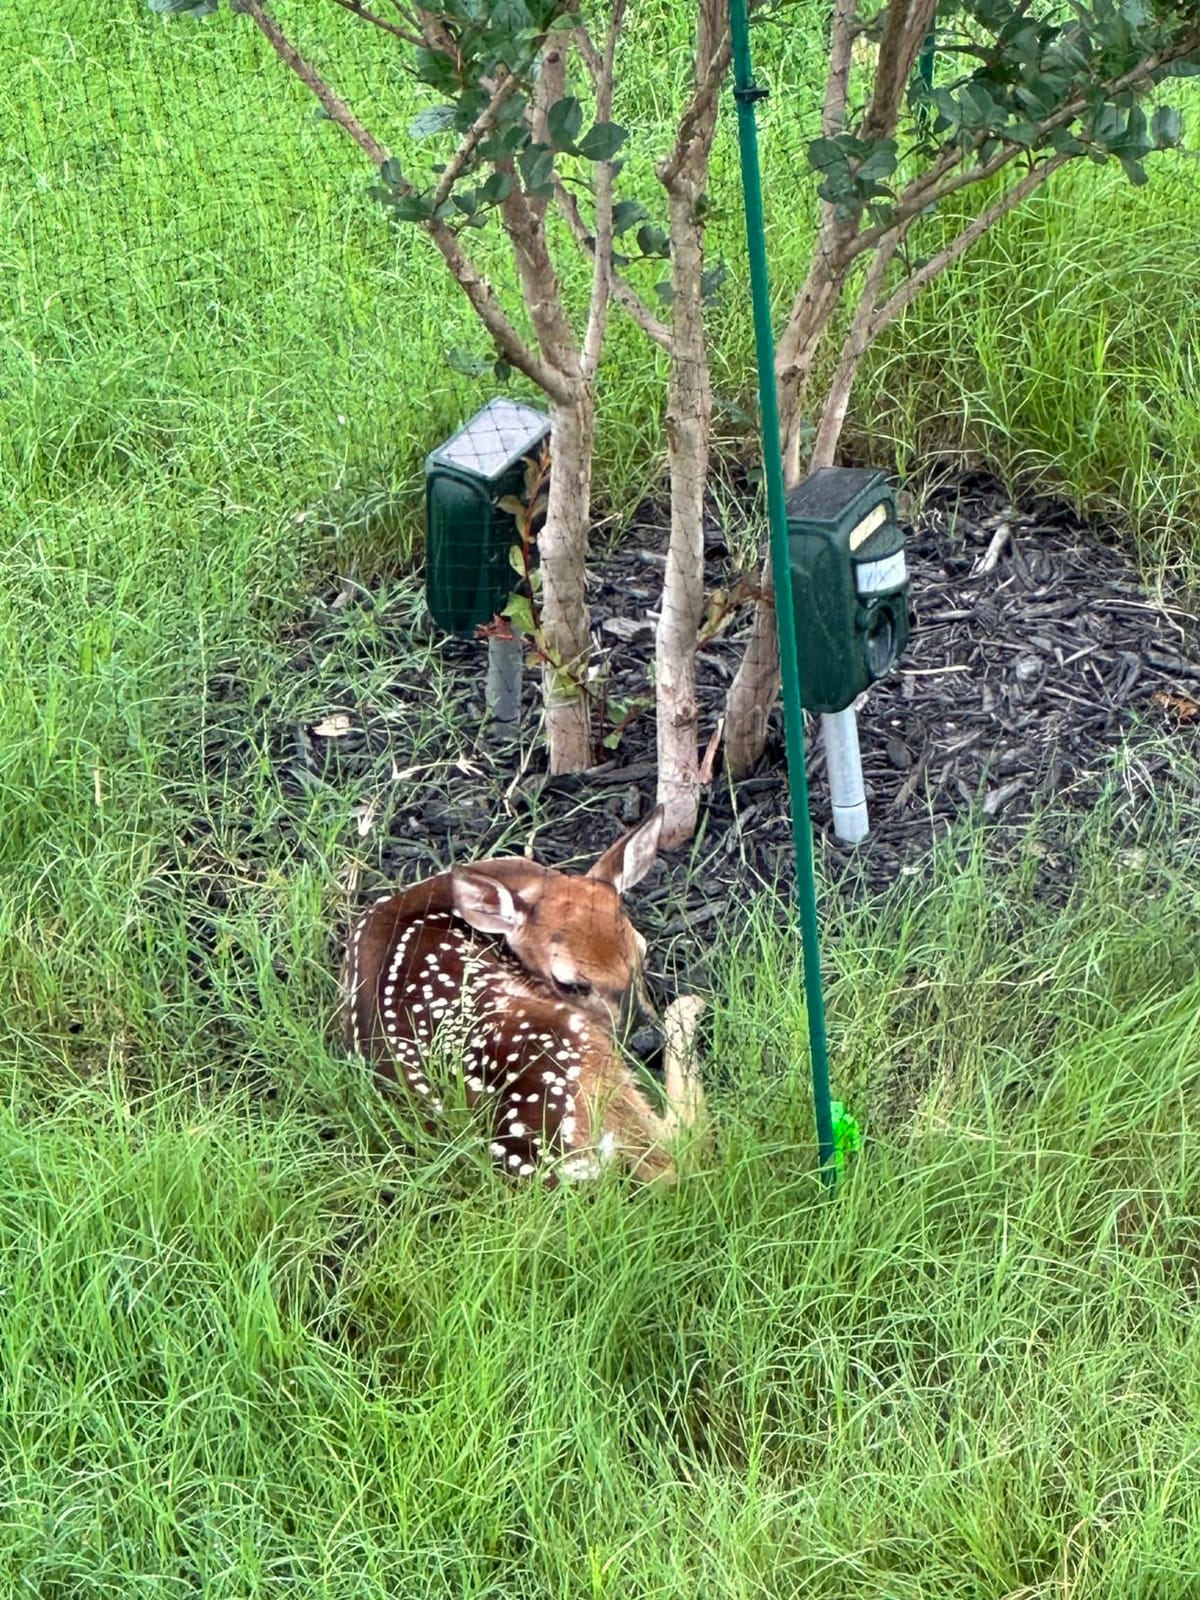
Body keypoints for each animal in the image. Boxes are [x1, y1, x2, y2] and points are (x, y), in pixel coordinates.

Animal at [342, 806, 706, 1186]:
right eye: (569, 984)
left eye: (642, 953)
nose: (648, 1040)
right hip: (572, 1041)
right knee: (676, 1156)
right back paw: (687, 1010)